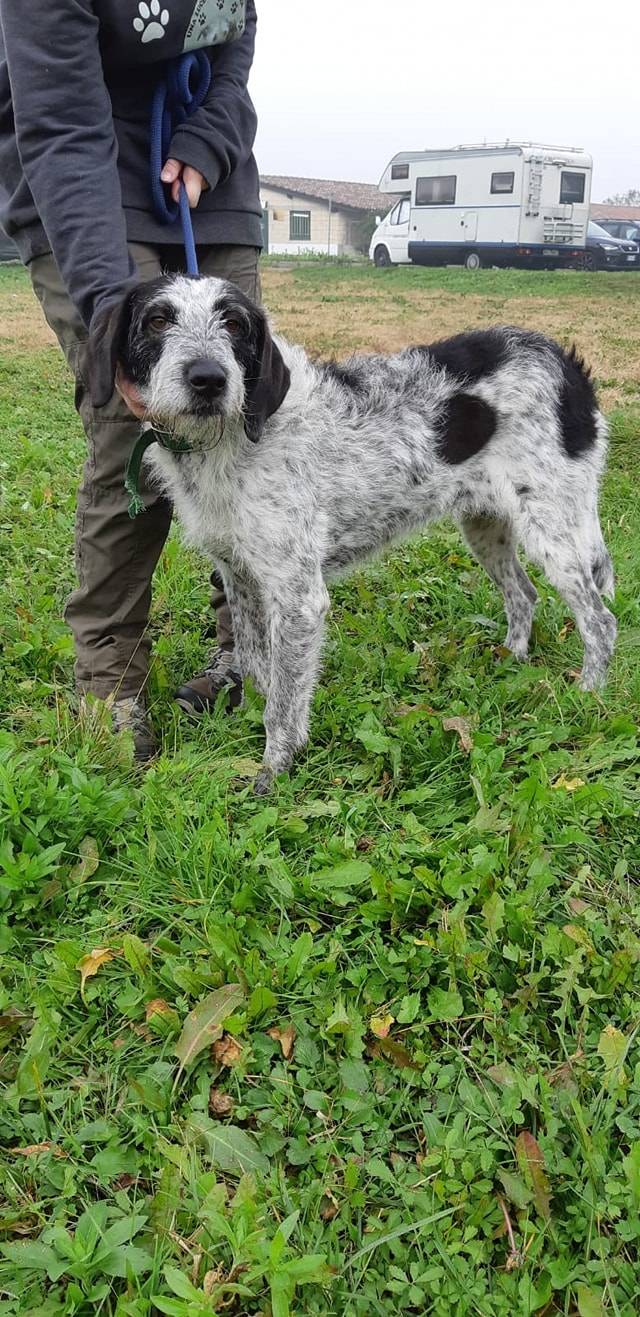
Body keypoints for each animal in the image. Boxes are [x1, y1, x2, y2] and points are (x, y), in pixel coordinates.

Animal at [88, 277, 616, 790]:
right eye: (158, 320)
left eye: (234, 324)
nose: (208, 379)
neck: (233, 438)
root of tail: (564, 360)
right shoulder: (240, 576)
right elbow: (259, 669)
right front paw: (248, 728)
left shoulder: (298, 597)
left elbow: (284, 700)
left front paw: (273, 771)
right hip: (487, 526)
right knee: (524, 593)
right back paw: (511, 661)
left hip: (554, 530)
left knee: (600, 620)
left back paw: (588, 694)